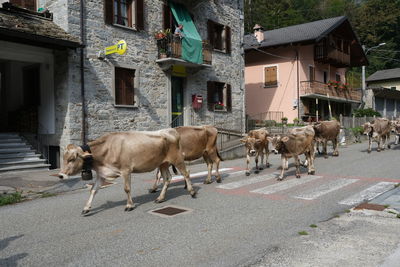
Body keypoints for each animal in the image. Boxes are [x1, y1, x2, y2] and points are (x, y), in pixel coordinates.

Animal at [58, 130, 196, 216]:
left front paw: (129, 205)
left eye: (72, 159)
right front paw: (86, 208)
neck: (107, 149)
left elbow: (127, 189)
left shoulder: (125, 170)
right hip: (163, 163)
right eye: (63, 158)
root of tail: (171, 130)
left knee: (186, 173)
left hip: (177, 159)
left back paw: (192, 191)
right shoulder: (102, 174)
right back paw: (160, 198)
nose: (60, 175)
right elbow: (93, 190)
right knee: (167, 178)